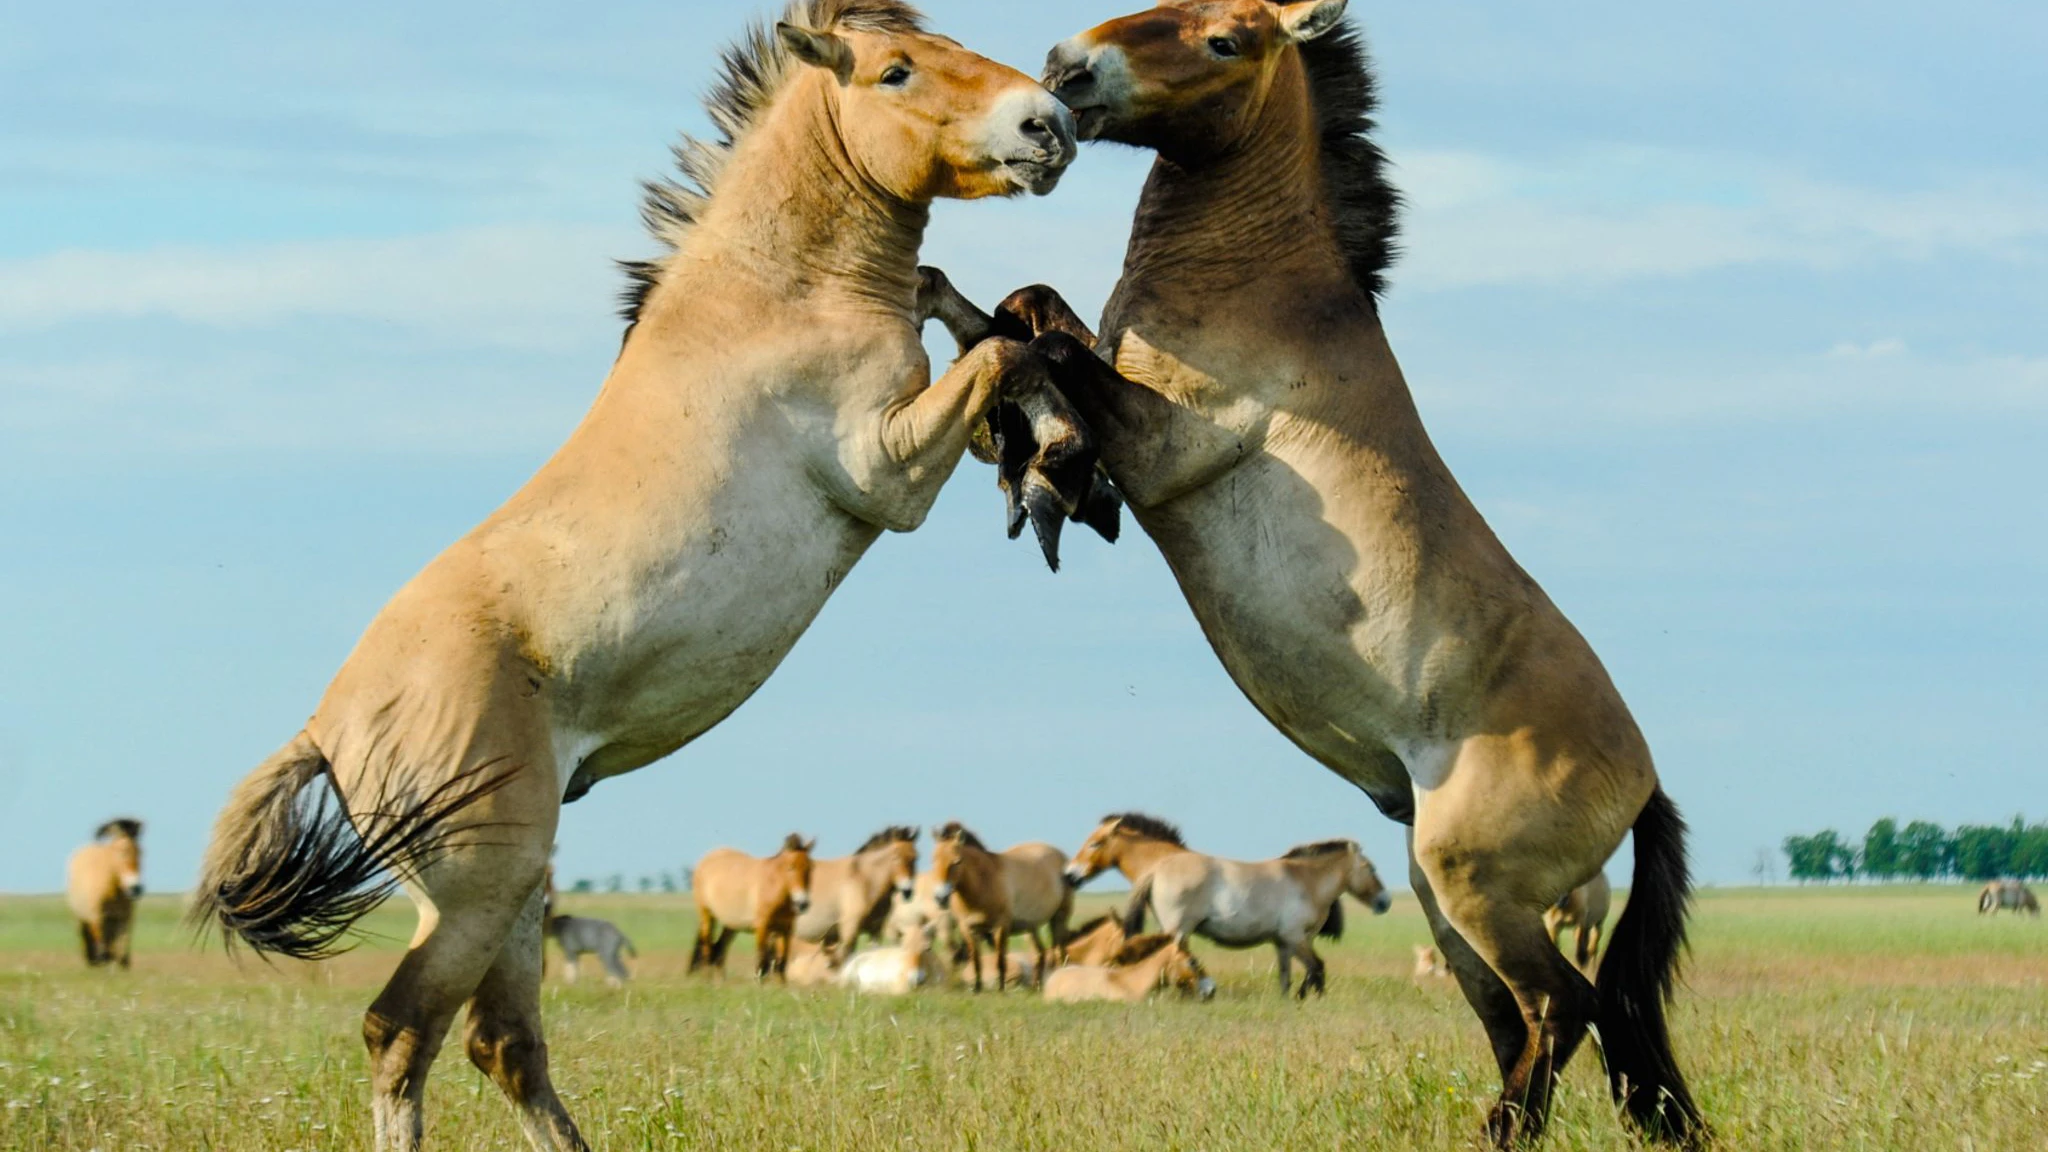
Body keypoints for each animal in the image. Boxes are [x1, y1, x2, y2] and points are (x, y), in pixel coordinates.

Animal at [66, 819, 143, 969]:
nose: (135, 888)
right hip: (83, 919)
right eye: (122, 850)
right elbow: (102, 946)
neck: (112, 890)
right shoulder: (97, 918)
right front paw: (103, 962)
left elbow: (123, 946)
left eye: (141, 851)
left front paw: (122, 964)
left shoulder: (124, 918)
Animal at [691, 834, 817, 980]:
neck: (772, 886)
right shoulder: (762, 928)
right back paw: (707, 981)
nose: (803, 903)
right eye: (791, 867)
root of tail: (706, 860)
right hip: (707, 915)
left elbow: (781, 964)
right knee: (707, 948)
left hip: (731, 924)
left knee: (719, 949)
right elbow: (762, 963)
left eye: (810, 868)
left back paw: (720, 982)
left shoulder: (785, 930)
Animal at [795, 825, 919, 962]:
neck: (862, 879)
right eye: (895, 857)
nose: (907, 890)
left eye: (915, 857)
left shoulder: (875, 931)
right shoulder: (849, 932)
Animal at [929, 821, 1074, 990]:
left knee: (1060, 952)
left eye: (957, 861)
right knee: (1040, 953)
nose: (940, 898)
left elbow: (1000, 960)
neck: (985, 882)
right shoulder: (968, 929)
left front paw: (1001, 990)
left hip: (1059, 918)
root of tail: (1061, 856)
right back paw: (1035, 987)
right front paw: (977, 989)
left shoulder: (1000, 927)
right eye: (934, 860)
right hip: (1031, 928)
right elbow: (976, 961)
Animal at [1077, 819, 1388, 999]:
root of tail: (1158, 869)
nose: (1384, 901)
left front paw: (1290, 1000)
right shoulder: (1296, 939)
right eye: (1371, 868)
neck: (1304, 880)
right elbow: (1317, 969)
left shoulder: (1285, 943)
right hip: (1178, 929)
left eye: (1095, 843)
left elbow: (1287, 977)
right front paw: (1313, 999)